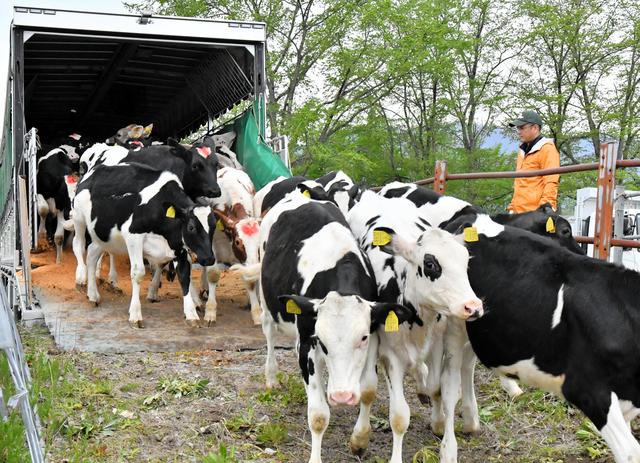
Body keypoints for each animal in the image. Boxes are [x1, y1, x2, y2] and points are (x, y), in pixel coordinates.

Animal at [72, 163, 218, 330]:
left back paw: (93, 294)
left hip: (104, 235)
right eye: (191, 227)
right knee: (78, 245)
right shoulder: (133, 236)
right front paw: (135, 315)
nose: (209, 258)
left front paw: (191, 314)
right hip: (78, 218)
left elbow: (184, 276)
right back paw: (81, 278)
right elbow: (138, 273)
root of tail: (93, 170)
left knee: (91, 254)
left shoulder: (177, 245)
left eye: (214, 227)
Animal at [232, 190, 418, 462]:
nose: (342, 397)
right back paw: (272, 376)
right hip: (268, 302)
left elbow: (368, 389)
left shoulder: (374, 337)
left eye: (362, 338)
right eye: (320, 339)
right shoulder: (307, 345)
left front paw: (359, 439)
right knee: (269, 332)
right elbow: (318, 415)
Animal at [348, 189, 482, 463]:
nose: (473, 307)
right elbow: (397, 414)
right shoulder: (388, 354)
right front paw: (362, 439)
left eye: (466, 262)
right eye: (430, 264)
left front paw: (439, 424)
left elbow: (437, 387)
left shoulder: (438, 342)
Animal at [442, 216, 640, 463]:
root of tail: (466, 217)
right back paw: (448, 448)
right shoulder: (588, 390)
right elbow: (630, 452)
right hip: (454, 320)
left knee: (468, 364)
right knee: (449, 383)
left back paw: (471, 421)